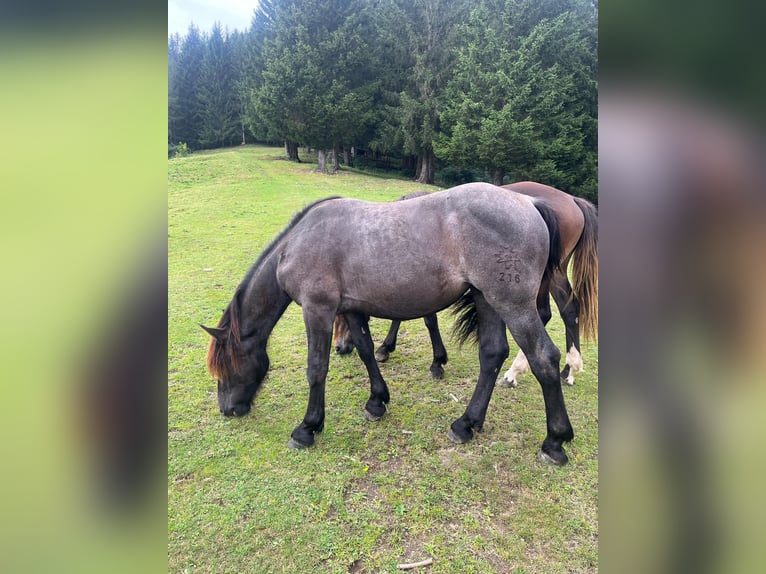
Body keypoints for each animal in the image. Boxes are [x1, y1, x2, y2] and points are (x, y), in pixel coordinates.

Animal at [336, 181, 600, 388]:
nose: (339, 347)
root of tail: (572, 200)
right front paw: (387, 348)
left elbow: (427, 320)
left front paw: (435, 362)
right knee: (568, 311)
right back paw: (567, 371)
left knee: (551, 313)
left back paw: (516, 373)